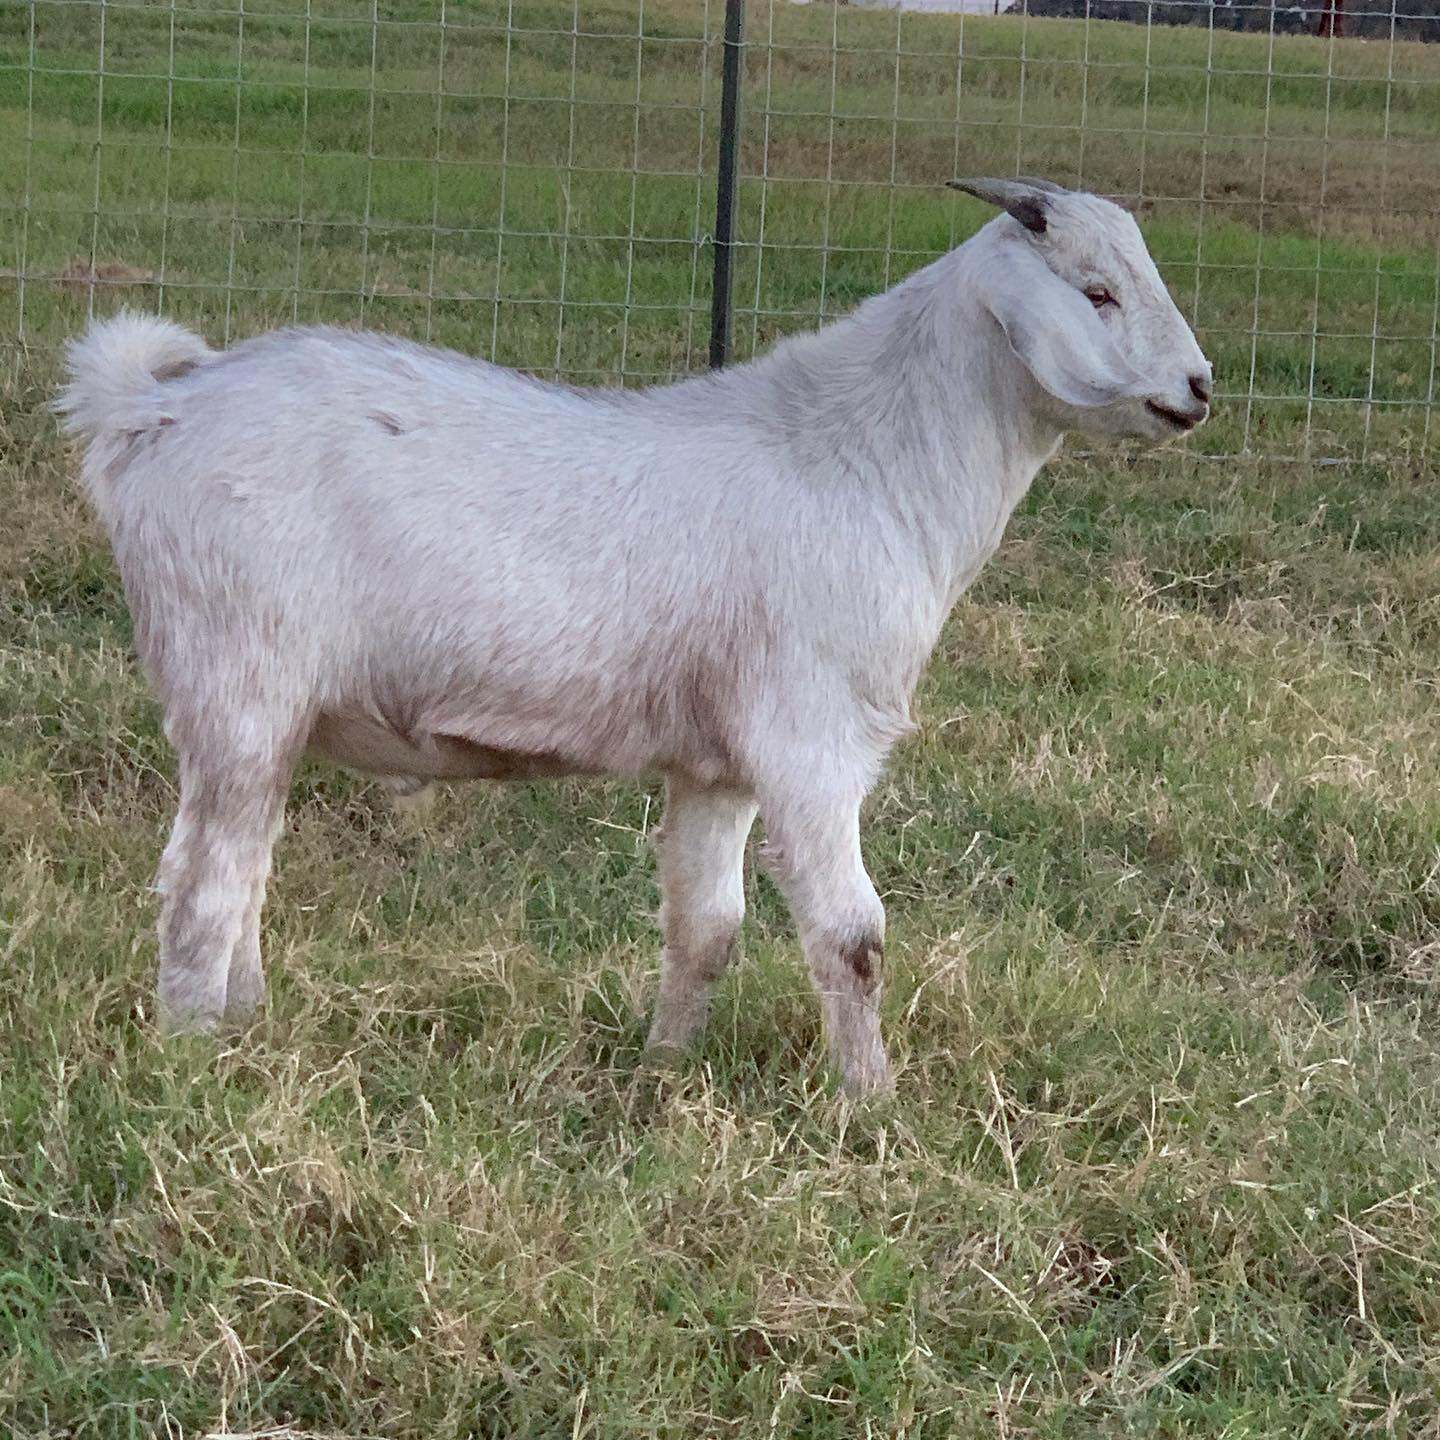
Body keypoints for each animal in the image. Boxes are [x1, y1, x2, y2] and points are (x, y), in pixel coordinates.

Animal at [58, 178, 1211, 1096]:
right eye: (1097, 291)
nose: (1199, 389)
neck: (860, 456)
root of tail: (148, 406)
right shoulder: (812, 742)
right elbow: (853, 940)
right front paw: (872, 1106)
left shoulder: (719, 766)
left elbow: (707, 931)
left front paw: (663, 1072)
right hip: (236, 682)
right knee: (201, 887)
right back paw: (191, 1066)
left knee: (245, 870)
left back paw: (246, 1029)